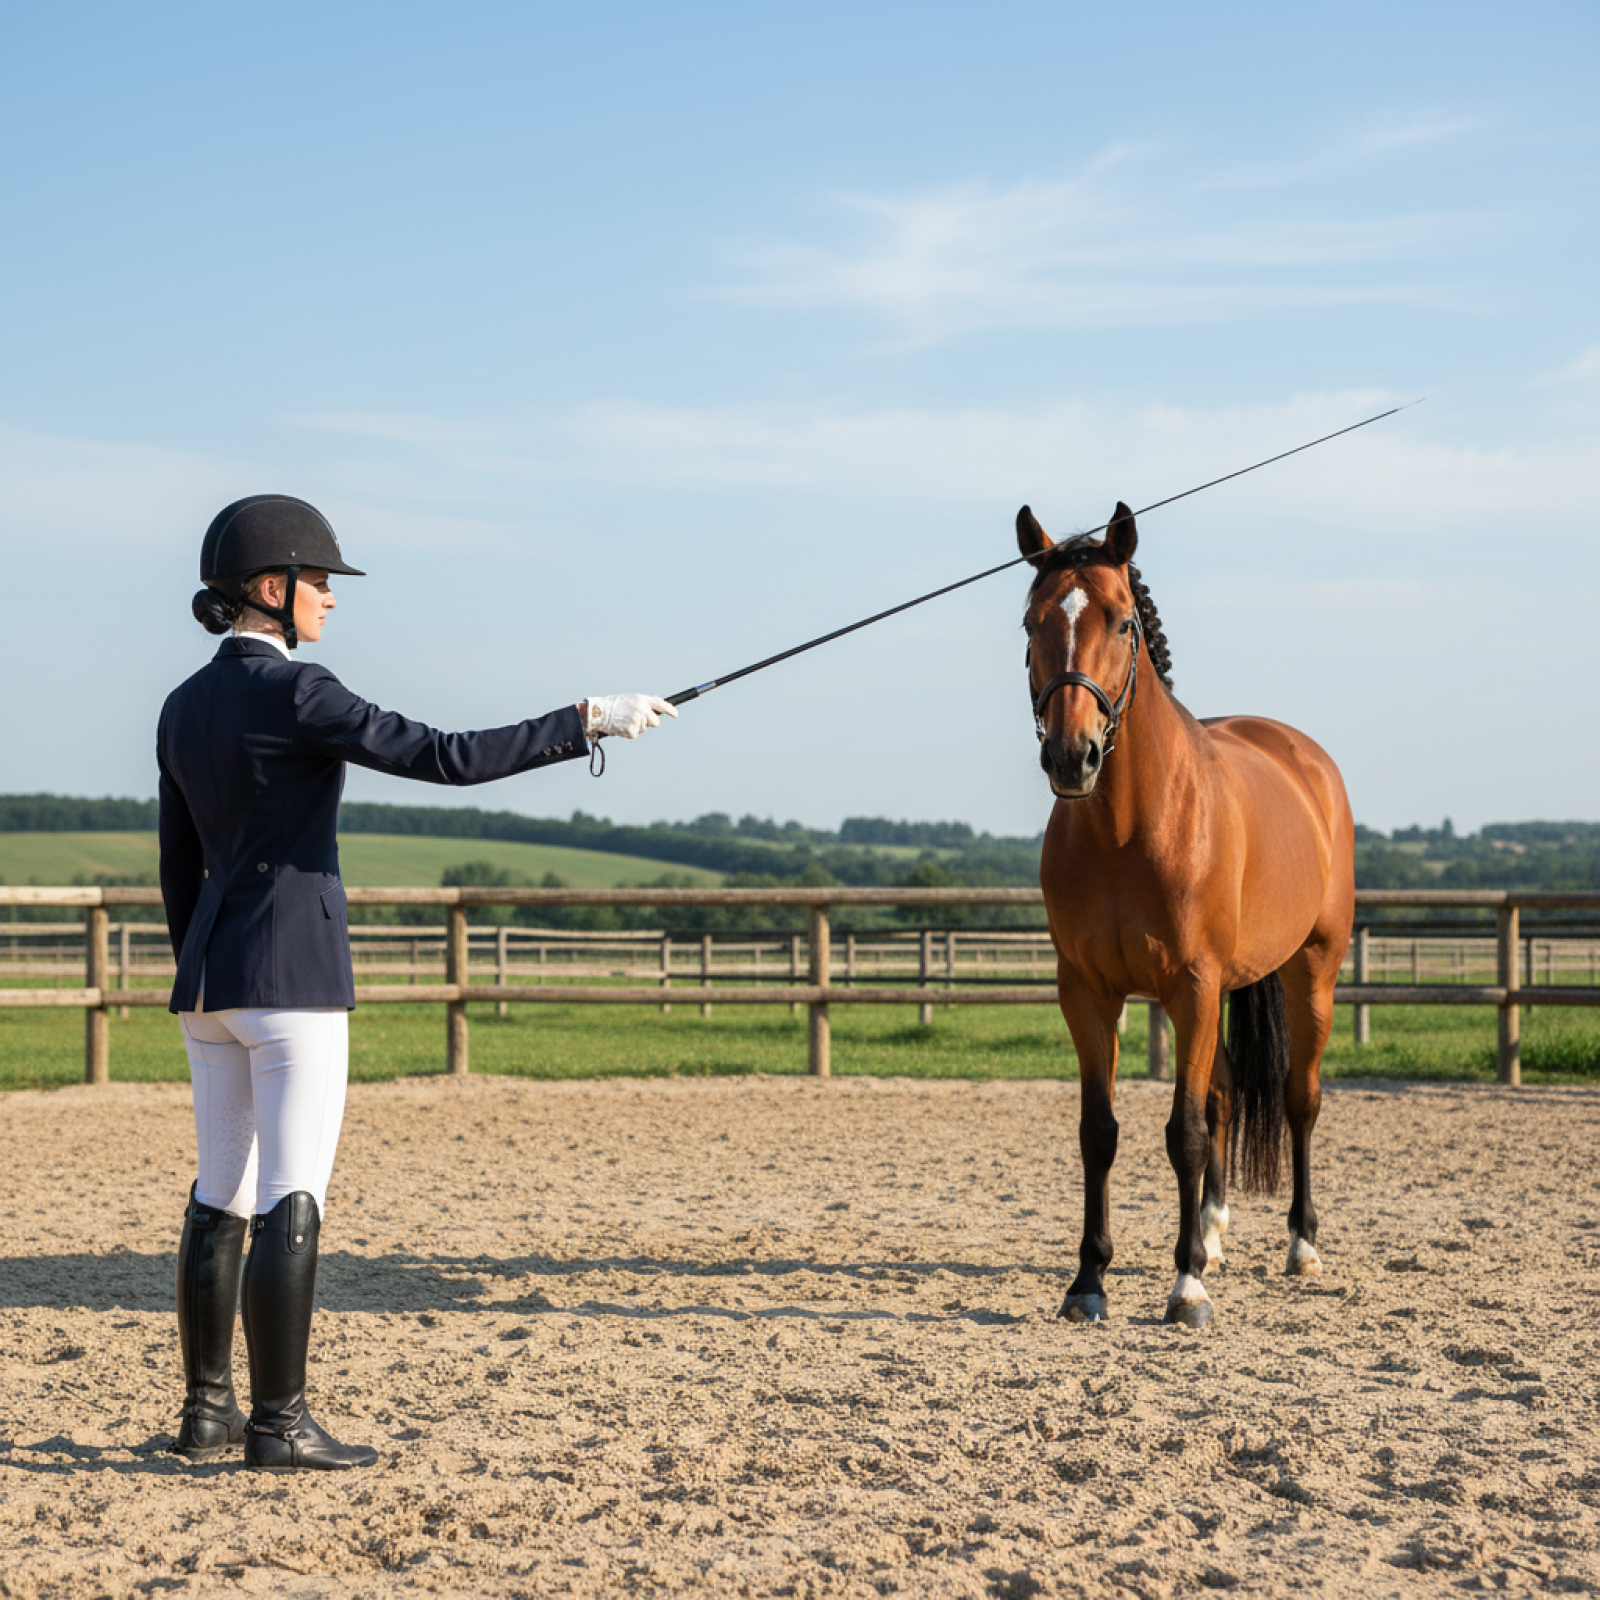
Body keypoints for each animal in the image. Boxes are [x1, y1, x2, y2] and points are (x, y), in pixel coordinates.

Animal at [1017, 501, 1354, 1328]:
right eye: (1031, 623)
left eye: (1122, 622)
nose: (1071, 757)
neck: (1128, 826)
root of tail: (1302, 755)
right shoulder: (1089, 994)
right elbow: (1100, 1133)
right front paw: (1089, 1281)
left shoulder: (1193, 987)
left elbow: (1185, 1134)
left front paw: (1186, 1287)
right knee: (1227, 1096)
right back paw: (1212, 1232)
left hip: (1311, 974)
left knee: (1299, 1100)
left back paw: (1300, 1245)